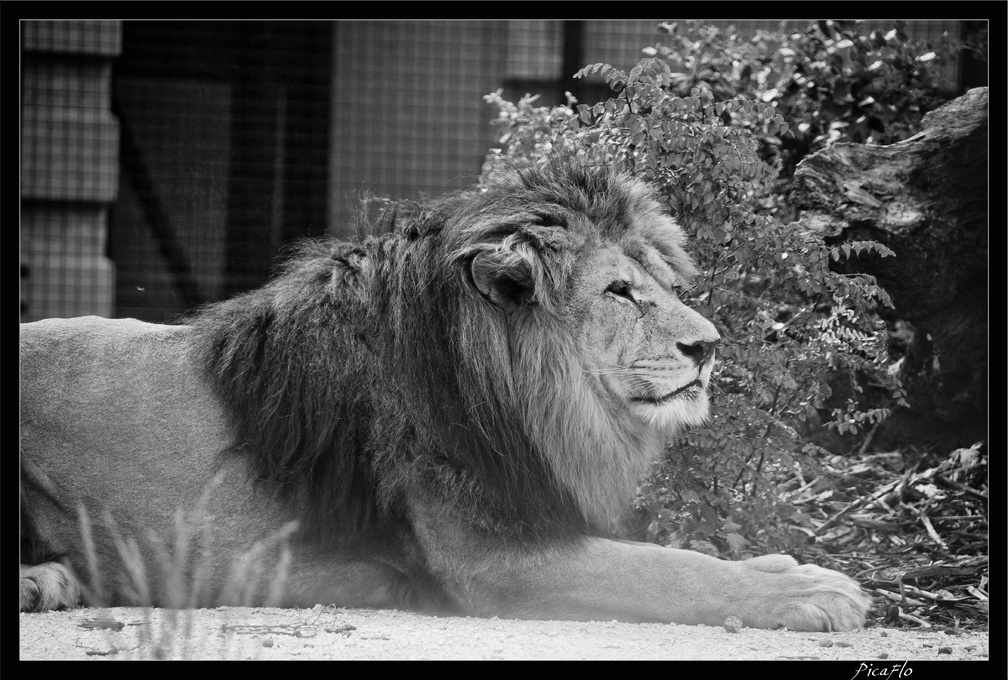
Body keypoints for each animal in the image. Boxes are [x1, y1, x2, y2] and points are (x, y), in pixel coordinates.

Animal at [15, 162, 870, 628]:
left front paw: (784, 567)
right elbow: (667, 568)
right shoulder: (493, 558)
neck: (527, 397)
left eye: (661, 285)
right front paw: (812, 590)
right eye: (619, 293)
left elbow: (680, 556)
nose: (710, 348)